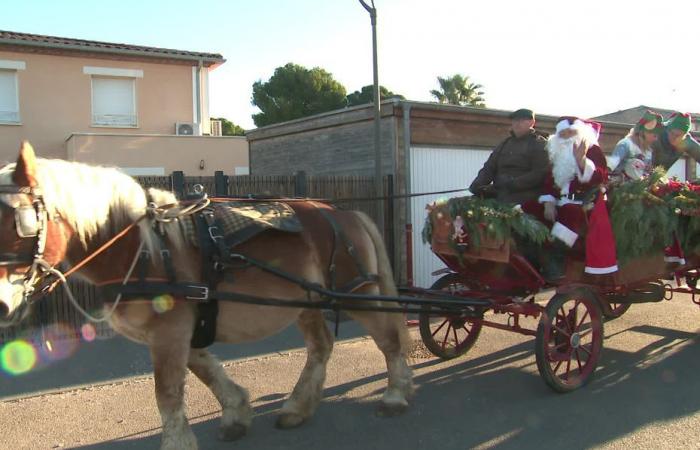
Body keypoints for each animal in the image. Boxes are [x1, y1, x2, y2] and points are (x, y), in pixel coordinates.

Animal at [0, 142, 416, 450]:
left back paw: (395, 395)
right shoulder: (182, 327)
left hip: (354, 292)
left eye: (23, 223)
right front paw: (236, 411)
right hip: (308, 301)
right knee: (321, 347)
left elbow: (167, 392)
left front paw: (179, 442)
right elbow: (204, 368)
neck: (143, 248)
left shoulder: (169, 332)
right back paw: (299, 406)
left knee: (388, 338)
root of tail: (343, 214)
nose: (3, 304)